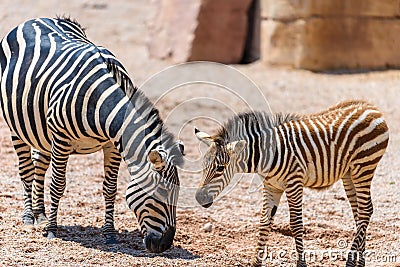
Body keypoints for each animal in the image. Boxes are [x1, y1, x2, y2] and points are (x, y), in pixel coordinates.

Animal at [0, 17, 184, 253]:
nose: (165, 244)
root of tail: (37, 19)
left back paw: (40, 213)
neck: (100, 103)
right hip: (17, 128)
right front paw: (51, 231)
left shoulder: (112, 145)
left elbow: (110, 188)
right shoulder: (61, 138)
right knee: (26, 170)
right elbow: (58, 185)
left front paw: (110, 234)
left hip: (41, 134)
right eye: (161, 191)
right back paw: (29, 217)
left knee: (39, 165)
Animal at [195, 101, 390, 267]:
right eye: (203, 165)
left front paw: (301, 264)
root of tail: (371, 107)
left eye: (220, 168)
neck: (266, 156)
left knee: (365, 211)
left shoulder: (294, 183)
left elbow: (296, 224)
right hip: (349, 174)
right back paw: (360, 262)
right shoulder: (271, 186)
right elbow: (264, 222)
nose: (199, 198)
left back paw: (350, 262)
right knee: (360, 213)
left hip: (363, 167)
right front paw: (256, 263)